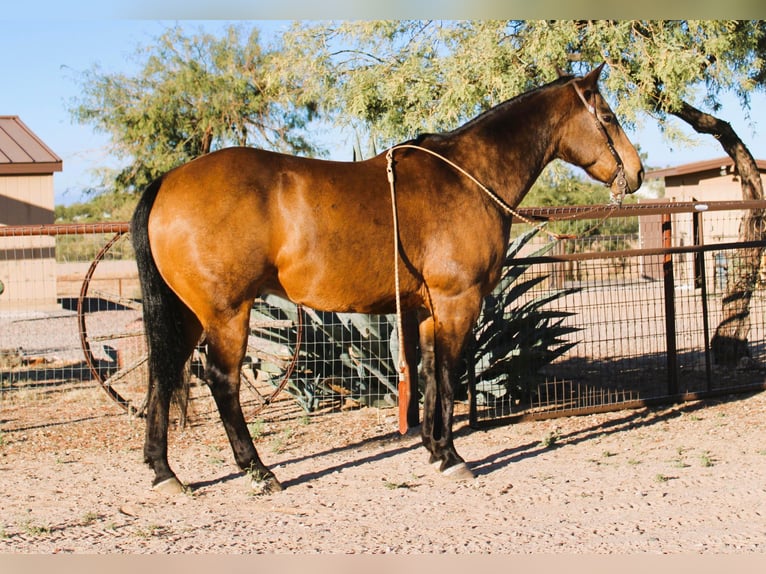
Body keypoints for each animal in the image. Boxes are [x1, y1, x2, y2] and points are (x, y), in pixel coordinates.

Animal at [130, 62, 640, 496]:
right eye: (609, 116)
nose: (635, 174)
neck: (468, 177)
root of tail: (168, 181)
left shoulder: (429, 310)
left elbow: (430, 374)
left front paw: (434, 449)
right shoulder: (458, 301)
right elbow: (449, 376)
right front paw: (451, 456)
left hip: (189, 314)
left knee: (163, 374)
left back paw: (163, 471)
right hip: (227, 313)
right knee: (221, 381)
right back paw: (258, 470)